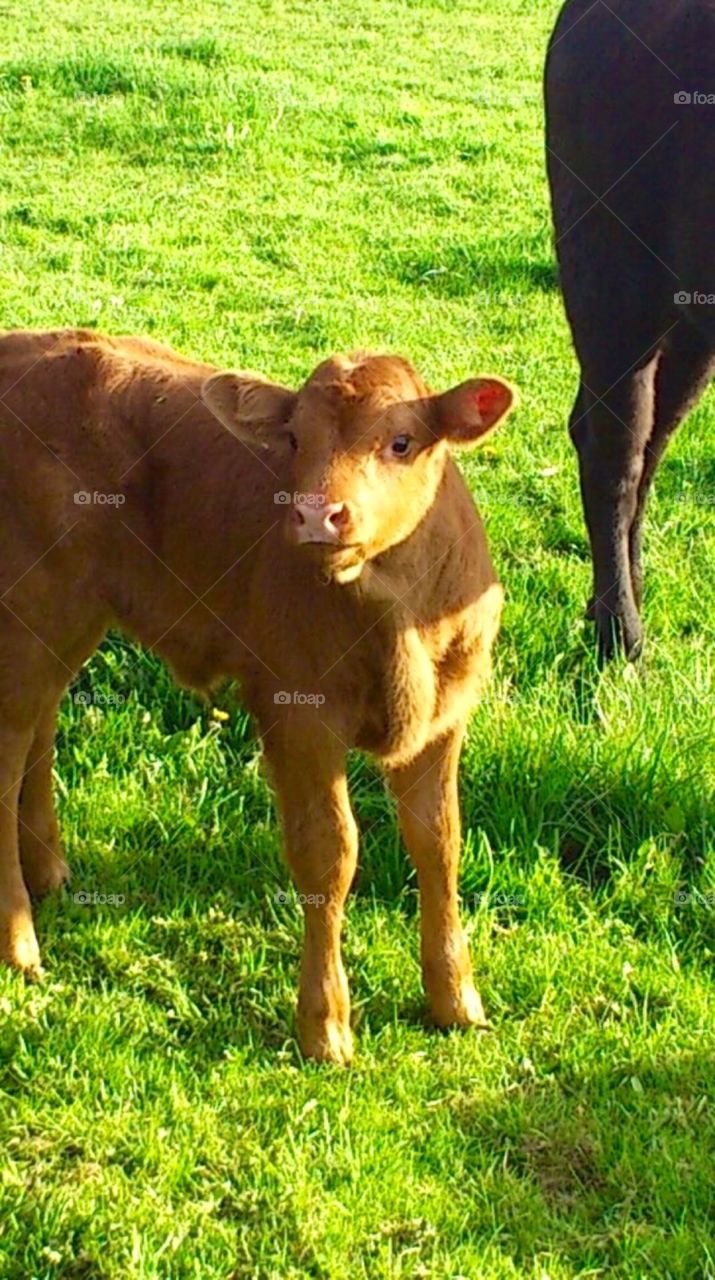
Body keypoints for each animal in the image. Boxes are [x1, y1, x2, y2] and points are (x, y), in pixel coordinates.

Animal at [0, 329, 515, 1063]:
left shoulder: (446, 716)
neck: (400, 618)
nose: (316, 515)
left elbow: (439, 843)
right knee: (9, 749)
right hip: (30, 609)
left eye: (402, 441)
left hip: (67, 621)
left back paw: (48, 870)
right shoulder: (297, 711)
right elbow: (329, 854)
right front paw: (325, 1026)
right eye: (295, 438)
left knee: (39, 728)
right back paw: (19, 943)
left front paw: (455, 999)